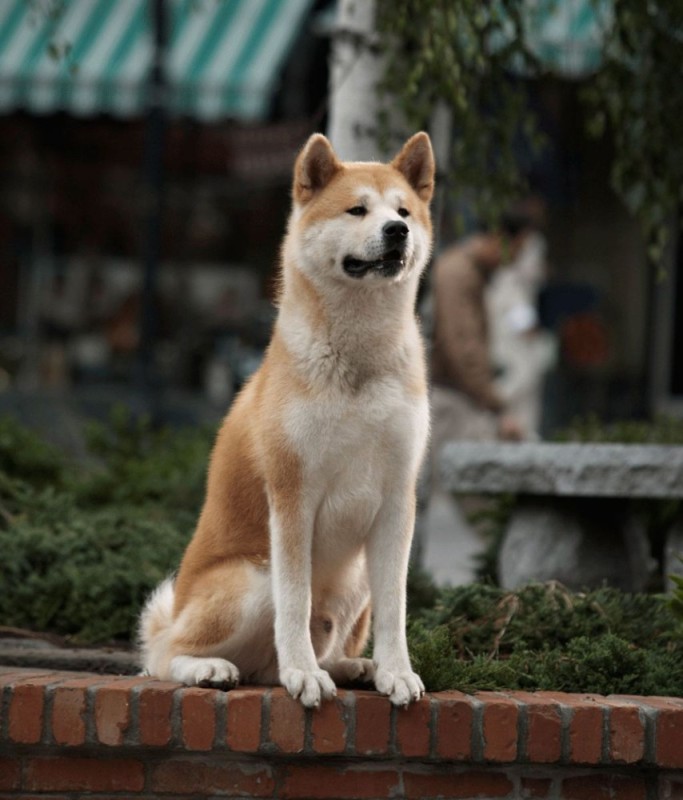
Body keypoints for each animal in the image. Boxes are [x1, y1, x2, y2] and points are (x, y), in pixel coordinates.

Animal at [140, 131, 436, 708]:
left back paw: (353, 667)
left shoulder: (397, 499)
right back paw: (214, 668)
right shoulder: (293, 494)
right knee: (163, 656)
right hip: (253, 579)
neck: (358, 361)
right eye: (357, 209)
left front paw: (396, 671)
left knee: (303, 653)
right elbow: (295, 603)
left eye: (403, 211)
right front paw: (303, 674)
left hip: (355, 578)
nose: (398, 231)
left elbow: (396, 609)